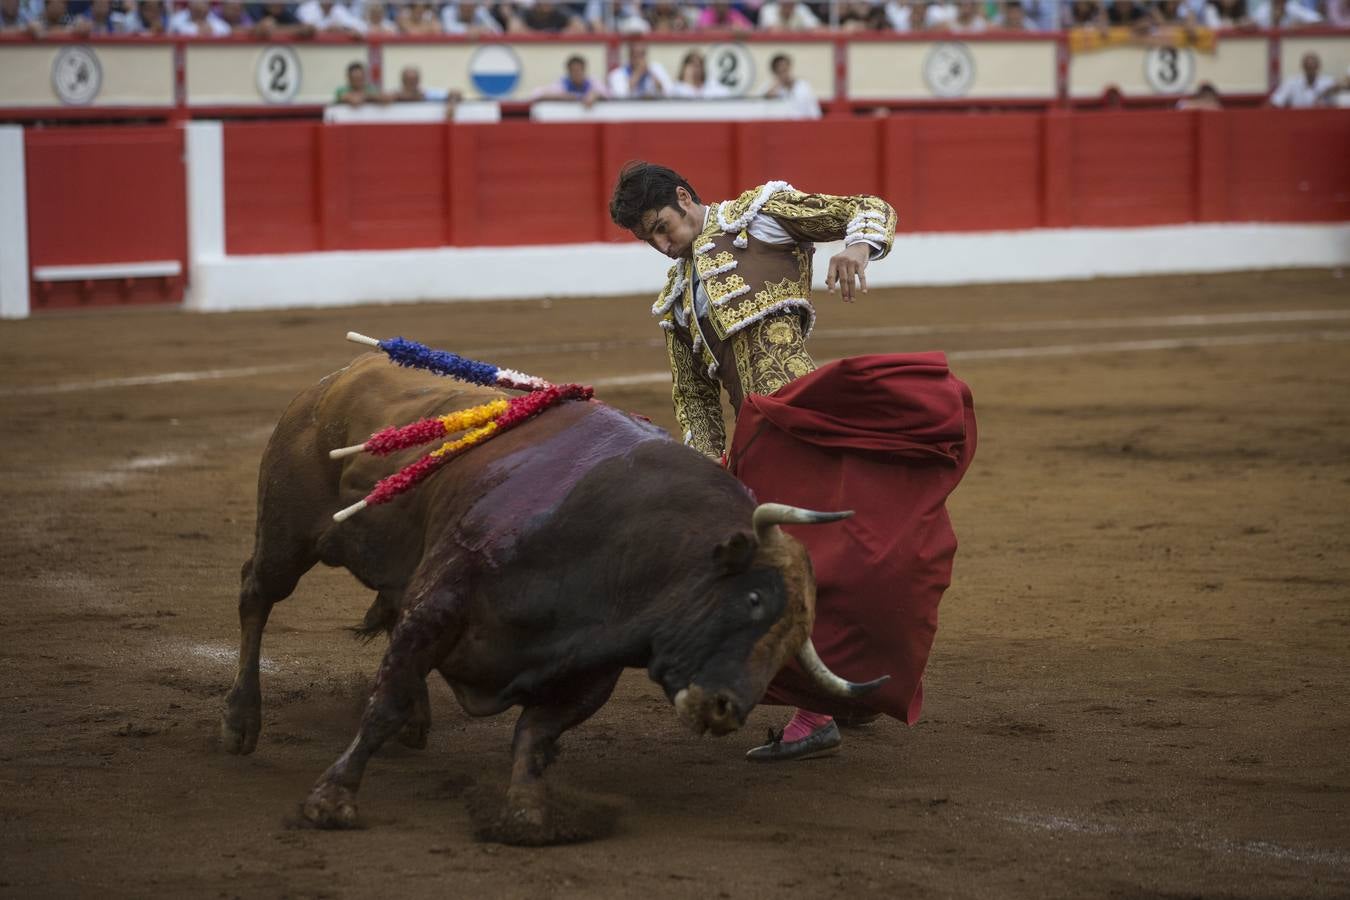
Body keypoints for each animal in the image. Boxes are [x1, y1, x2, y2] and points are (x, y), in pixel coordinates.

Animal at [221, 356, 885, 836]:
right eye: (751, 601)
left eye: (792, 646)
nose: (726, 708)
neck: (633, 543)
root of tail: (334, 379)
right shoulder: (440, 603)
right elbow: (382, 703)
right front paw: (331, 801)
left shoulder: (589, 673)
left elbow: (534, 737)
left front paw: (525, 815)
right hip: (289, 535)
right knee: (257, 595)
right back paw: (240, 722)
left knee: (383, 611)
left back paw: (417, 722)